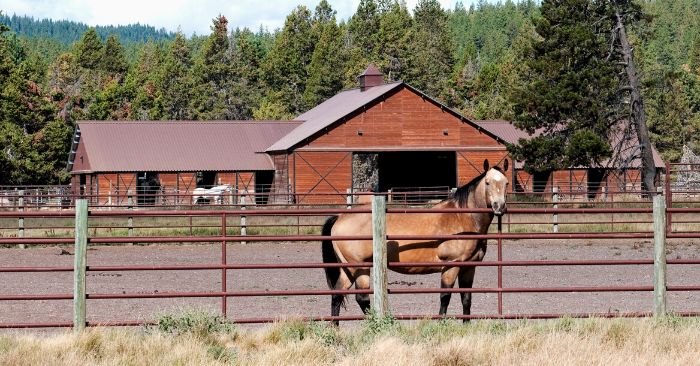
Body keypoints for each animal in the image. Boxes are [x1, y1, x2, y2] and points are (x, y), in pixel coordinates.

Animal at [318, 159, 508, 324]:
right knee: (362, 299)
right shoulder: (451, 266)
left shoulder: (469, 267)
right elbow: (445, 297)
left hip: (347, 269)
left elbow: (466, 298)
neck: (462, 217)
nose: (499, 206)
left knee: (337, 295)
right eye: (488, 183)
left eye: (506, 183)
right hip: (359, 267)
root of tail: (339, 218)